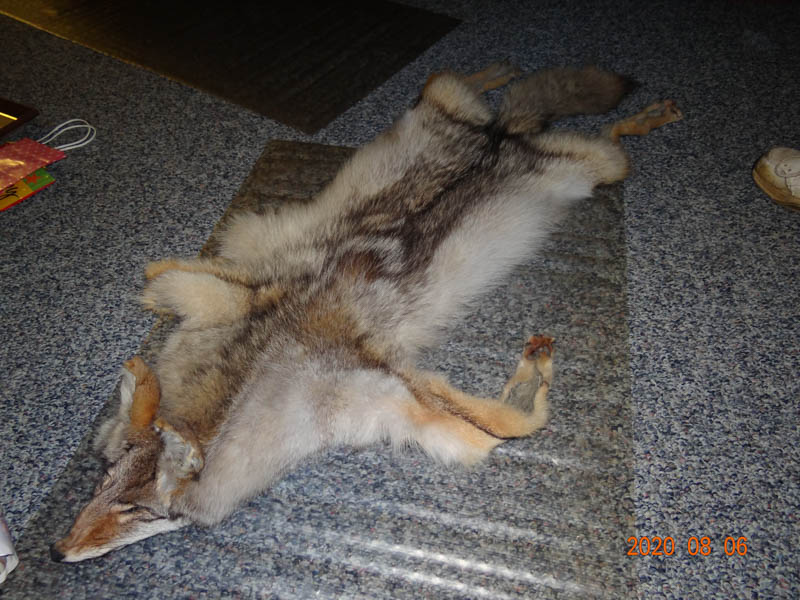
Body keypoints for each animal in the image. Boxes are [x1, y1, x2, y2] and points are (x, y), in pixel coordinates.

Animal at [51, 62, 681, 562]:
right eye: (102, 482)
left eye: (135, 511)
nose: (57, 552)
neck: (261, 373)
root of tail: (501, 136)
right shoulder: (218, 287)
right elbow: (161, 276)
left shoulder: (391, 381)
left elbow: (510, 425)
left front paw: (533, 380)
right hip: (451, 103)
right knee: (470, 83)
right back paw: (500, 76)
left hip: (603, 169)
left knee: (608, 133)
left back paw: (647, 113)